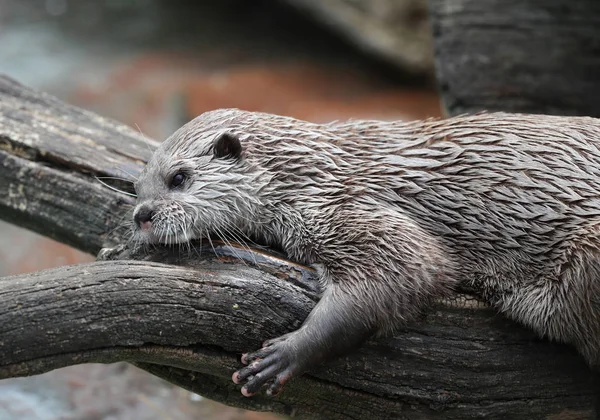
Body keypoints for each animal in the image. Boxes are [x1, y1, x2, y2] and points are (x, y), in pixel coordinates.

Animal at [131, 108, 600, 398]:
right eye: (138, 186)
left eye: (178, 178)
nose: (141, 215)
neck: (309, 174)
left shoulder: (347, 208)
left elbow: (407, 268)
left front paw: (286, 354)